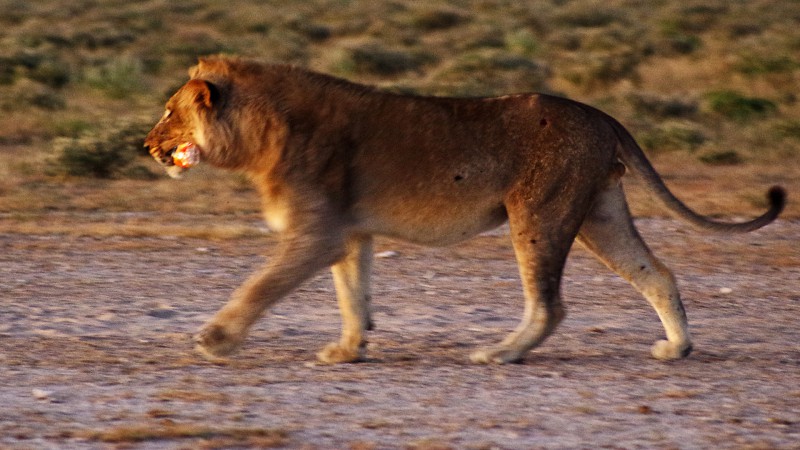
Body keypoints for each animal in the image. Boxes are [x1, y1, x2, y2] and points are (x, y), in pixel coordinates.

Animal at [142, 57, 780, 366]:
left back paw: (502, 353)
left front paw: (215, 340)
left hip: (539, 213)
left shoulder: (314, 233)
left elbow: (258, 288)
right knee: (658, 273)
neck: (262, 133)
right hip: (599, 213)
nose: (147, 145)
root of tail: (600, 113)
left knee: (549, 304)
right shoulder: (348, 232)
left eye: (171, 112)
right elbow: (353, 296)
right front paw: (349, 350)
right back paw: (676, 349)